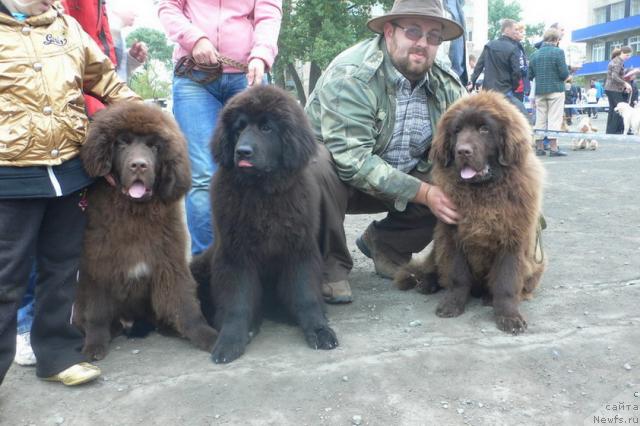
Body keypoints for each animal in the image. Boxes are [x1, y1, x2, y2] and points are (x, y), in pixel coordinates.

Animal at [74, 102, 219, 360]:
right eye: (122, 142)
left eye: (154, 146)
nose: (139, 165)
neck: (134, 212)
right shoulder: (97, 268)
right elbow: (96, 311)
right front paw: (94, 345)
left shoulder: (169, 261)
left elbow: (185, 304)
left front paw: (206, 335)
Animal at [191, 85, 338, 362]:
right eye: (239, 128)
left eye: (267, 128)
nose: (242, 152)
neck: (262, 194)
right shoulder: (235, 255)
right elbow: (237, 303)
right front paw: (230, 340)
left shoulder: (300, 251)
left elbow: (306, 296)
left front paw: (319, 329)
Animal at [396, 91, 544, 334]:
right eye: (457, 130)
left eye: (484, 129)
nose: (462, 151)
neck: (482, 194)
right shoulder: (454, 236)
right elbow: (458, 277)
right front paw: (452, 305)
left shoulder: (512, 240)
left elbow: (506, 283)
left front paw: (509, 317)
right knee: (432, 268)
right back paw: (427, 283)